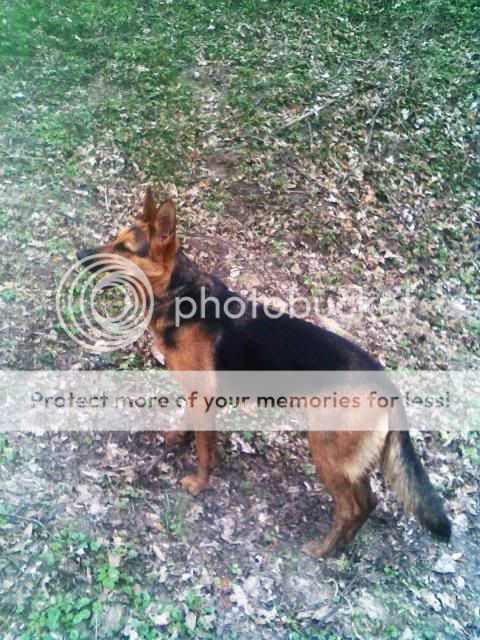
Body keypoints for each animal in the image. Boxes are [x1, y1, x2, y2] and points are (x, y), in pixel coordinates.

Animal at [77, 188, 451, 557]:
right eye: (114, 240)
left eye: (124, 249)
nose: (80, 255)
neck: (176, 292)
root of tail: (384, 380)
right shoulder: (196, 395)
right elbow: (188, 425)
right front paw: (179, 439)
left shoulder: (204, 398)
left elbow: (205, 451)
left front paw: (199, 483)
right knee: (368, 502)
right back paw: (340, 547)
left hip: (326, 452)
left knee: (353, 506)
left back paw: (323, 550)